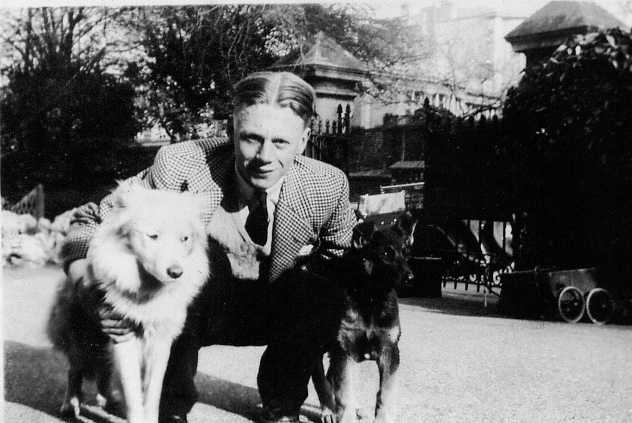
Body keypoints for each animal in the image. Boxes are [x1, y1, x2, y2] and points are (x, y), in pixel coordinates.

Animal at [47, 182, 210, 423]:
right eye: (153, 236)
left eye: (185, 239)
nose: (176, 273)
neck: (147, 291)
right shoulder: (123, 337)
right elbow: (133, 393)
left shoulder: (160, 343)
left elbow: (152, 394)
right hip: (81, 336)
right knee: (75, 369)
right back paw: (70, 405)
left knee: (104, 370)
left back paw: (109, 401)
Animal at [312, 212, 416, 423]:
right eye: (386, 253)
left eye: (406, 253)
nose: (411, 278)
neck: (371, 298)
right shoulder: (344, 349)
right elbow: (345, 392)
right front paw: (345, 417)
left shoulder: (389, 350)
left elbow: (385, 392)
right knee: (320, 378)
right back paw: (328, 410)